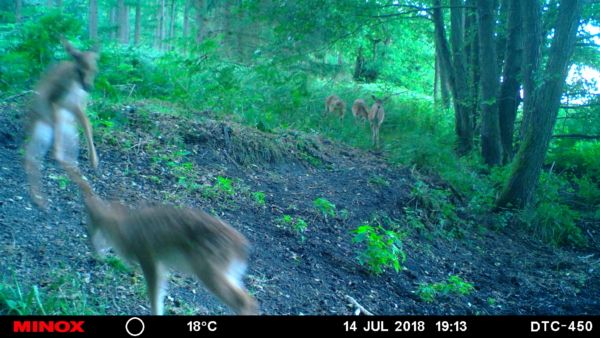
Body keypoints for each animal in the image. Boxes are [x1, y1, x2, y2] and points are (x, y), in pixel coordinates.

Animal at [24, 39, 99, 209]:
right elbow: (86, 122)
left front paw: (94, 160)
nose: (88, 86)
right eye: (79, 69)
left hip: (56, 130)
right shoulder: (59, 101)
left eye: (95, 70)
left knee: (37, 156)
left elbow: (88, 124)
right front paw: (94, 160)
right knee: (44, 154)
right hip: (46, 127)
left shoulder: (78, 106)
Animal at [70, 174, 258, 316]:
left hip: (209, 270)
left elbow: (155, 295)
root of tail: (243, 248)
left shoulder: (149, 258)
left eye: (90, 222)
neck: (124, 232)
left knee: (246, 301)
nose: (93, 251)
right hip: (230, 273)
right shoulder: (161, 264)